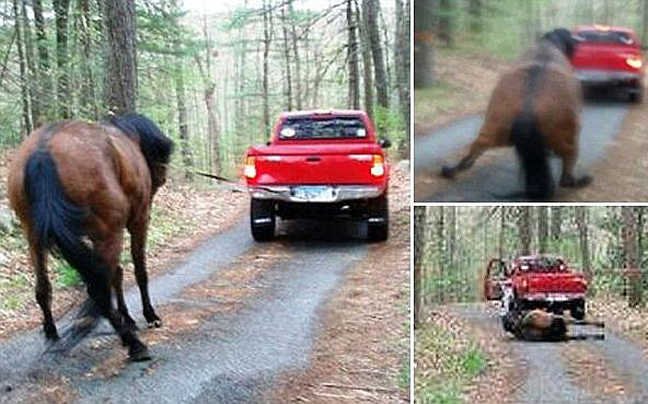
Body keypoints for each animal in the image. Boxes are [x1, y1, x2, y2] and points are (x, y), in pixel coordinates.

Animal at [6, 113, 173, 360]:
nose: (162, 179)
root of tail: (43, 150)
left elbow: (116, 274)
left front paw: (128, 317)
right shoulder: (138, 221)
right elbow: (139, 271)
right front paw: (149, 316)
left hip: (33, 236)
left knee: (43, 289)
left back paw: (52, 334)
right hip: (109, 233)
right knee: (98, 289)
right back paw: (134, 344)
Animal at [440, 27, 592, 200]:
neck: (548, 44)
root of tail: (528, 109)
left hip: (493, 128)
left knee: (475, 151)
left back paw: (451, 170)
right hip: (569, 139)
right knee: (566, 176)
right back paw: (580, 180)